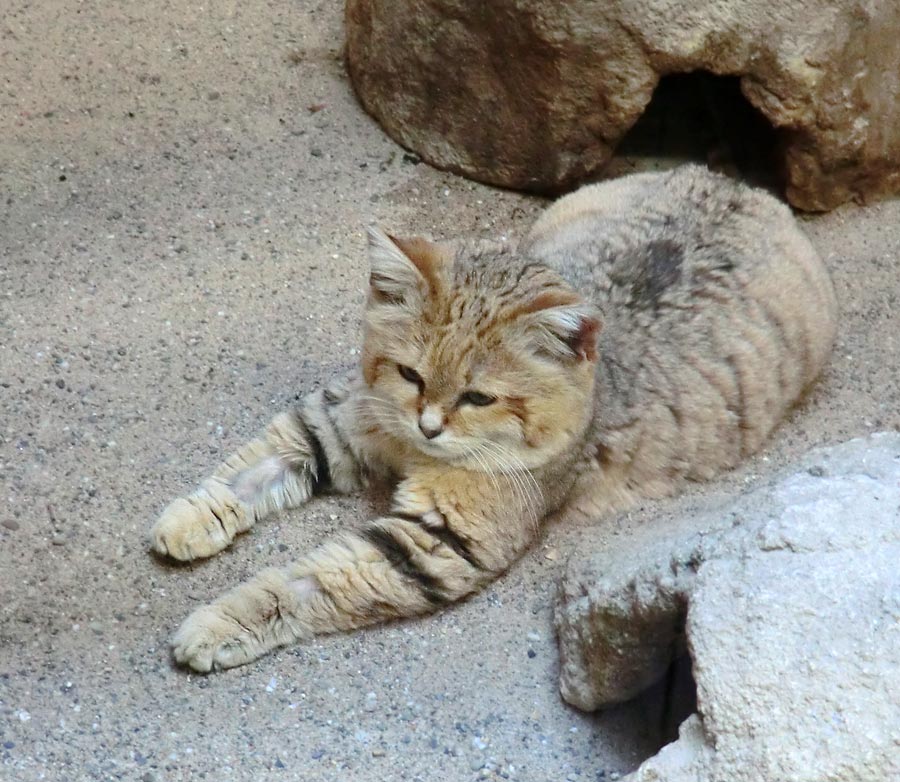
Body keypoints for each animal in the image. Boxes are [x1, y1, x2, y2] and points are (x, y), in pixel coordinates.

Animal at [149, 165, 836, 672]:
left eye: (479, 398)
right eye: (411, 376)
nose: (428, 425)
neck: (415, 453)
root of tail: (735, 181)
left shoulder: (437, 543)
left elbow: (304, 583)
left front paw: (217, 622)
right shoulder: (342, 418)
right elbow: (252, 468)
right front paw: (187, 520)